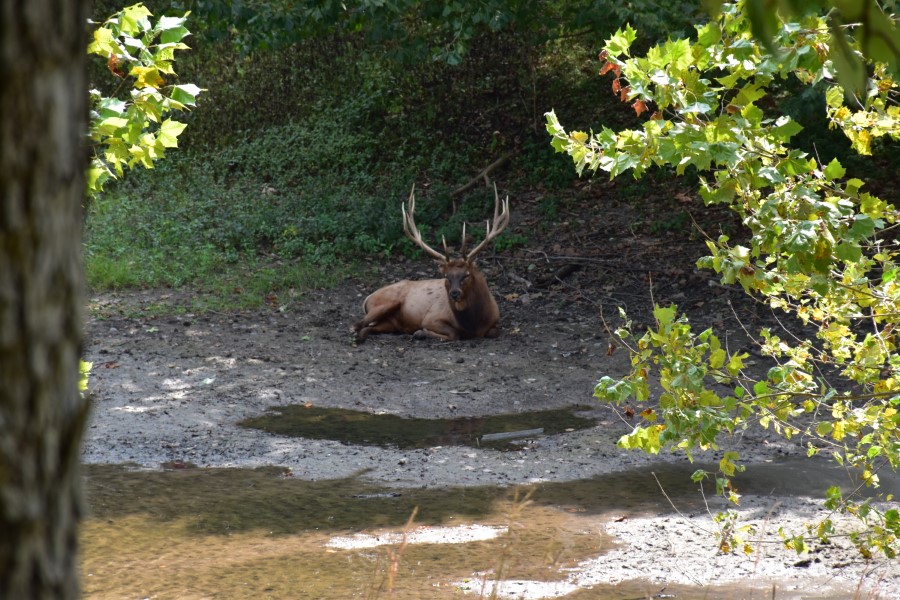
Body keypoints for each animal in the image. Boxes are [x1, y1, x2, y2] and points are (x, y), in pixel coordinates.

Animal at [354, 183, 510, 342]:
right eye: (446, 276)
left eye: (466, 274)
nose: (454, 293)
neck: (474, 324)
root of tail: (368, 298)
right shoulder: (431, 318)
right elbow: (454, 333)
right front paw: (421, 332)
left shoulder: (495, 321)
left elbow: (494, 332)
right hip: (386, 302)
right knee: (356, 324)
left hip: (389, 323)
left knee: (367, 328)